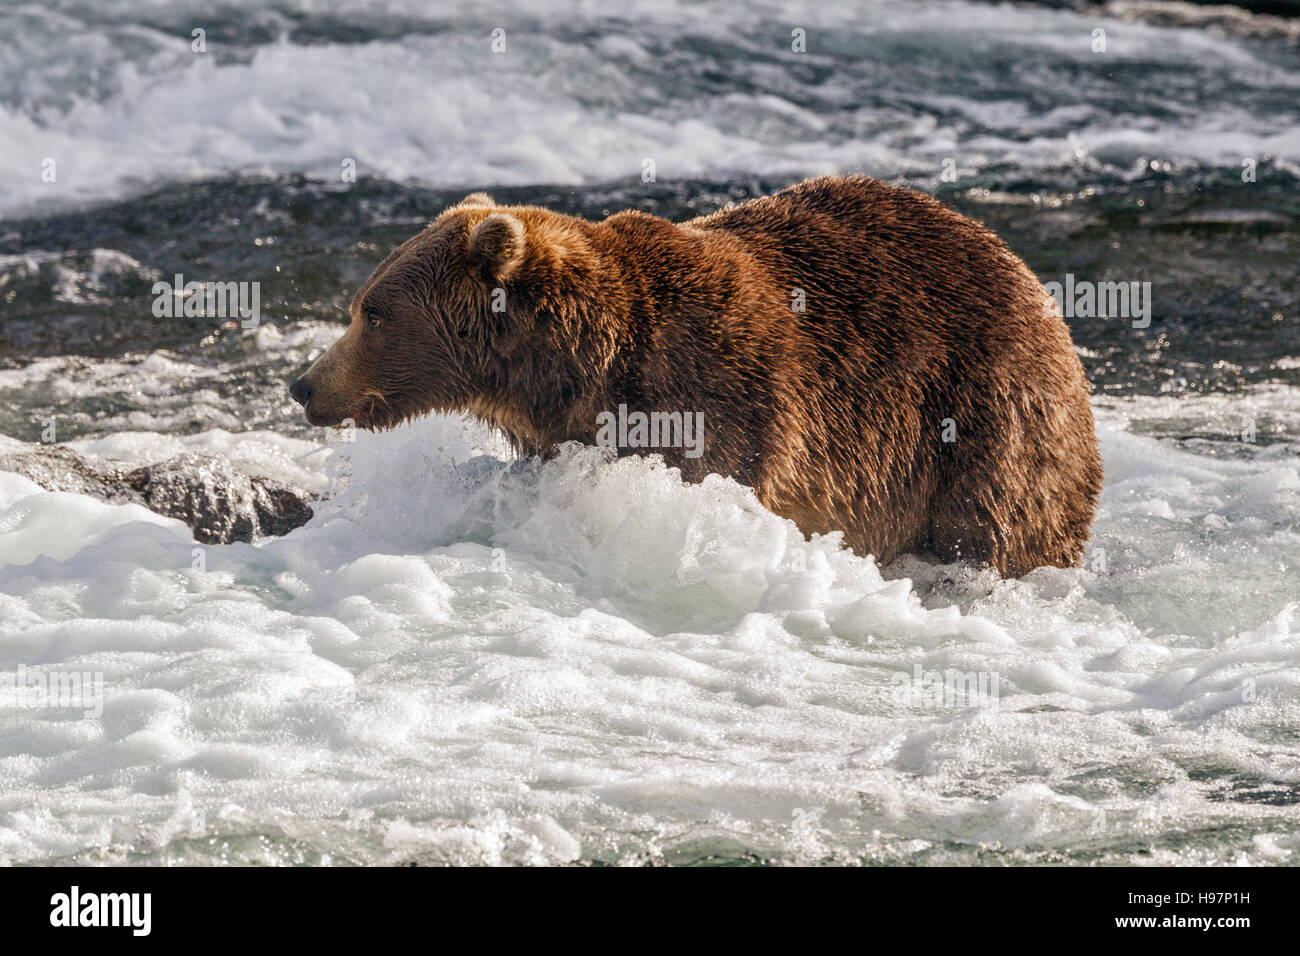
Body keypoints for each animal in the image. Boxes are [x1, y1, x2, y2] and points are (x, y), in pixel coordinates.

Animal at [289, 175, 1102, 572]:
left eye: (372, 312)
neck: (580, 368)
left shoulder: (718, 396)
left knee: (998, 517)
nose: (304, 384)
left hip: (985, 414)